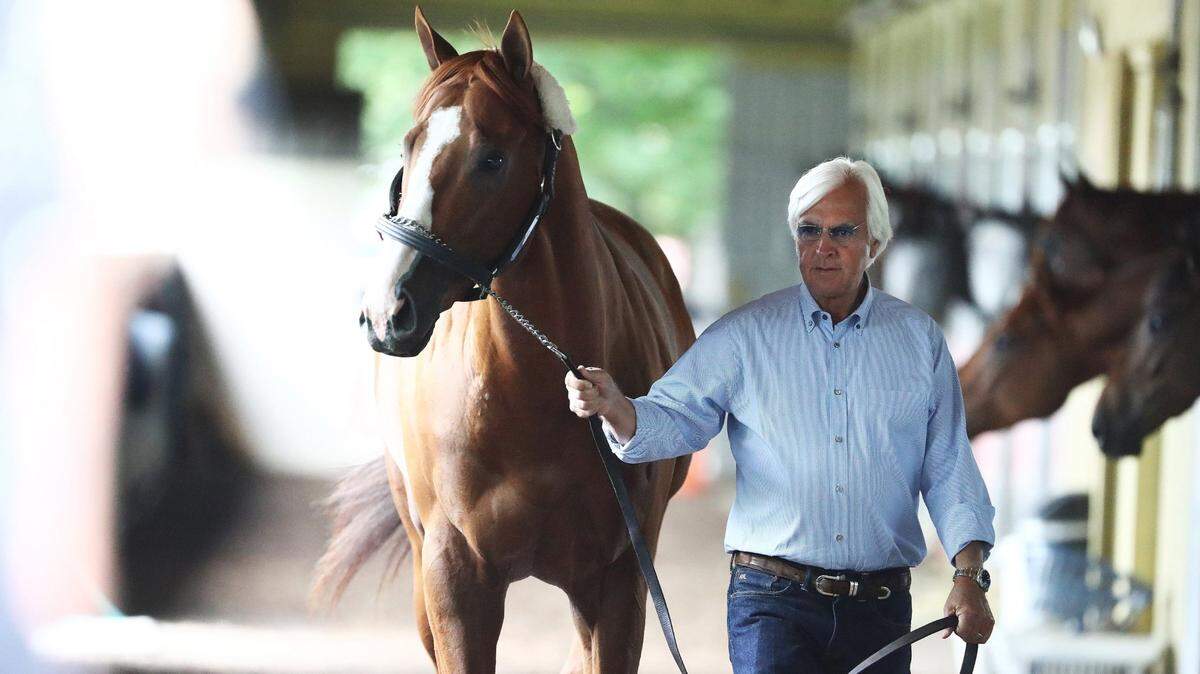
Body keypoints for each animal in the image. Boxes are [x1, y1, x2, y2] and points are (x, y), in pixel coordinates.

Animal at [314, 9, 694, 672]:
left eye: (491, 159)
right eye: (408, 149)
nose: (387, 313)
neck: (532, 398)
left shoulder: (619, 582)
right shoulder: (455, 582)